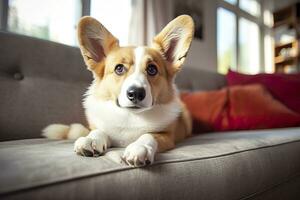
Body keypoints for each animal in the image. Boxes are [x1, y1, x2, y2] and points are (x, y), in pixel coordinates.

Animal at [42, 14, 195, 166]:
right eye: (119, 68)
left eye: (152, 69)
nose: (136, 93)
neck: (130, 116)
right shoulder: (101, 128)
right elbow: (99, 131)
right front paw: (91, 140)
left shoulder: (167, 136)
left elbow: (148, 135)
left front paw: (139, 147)